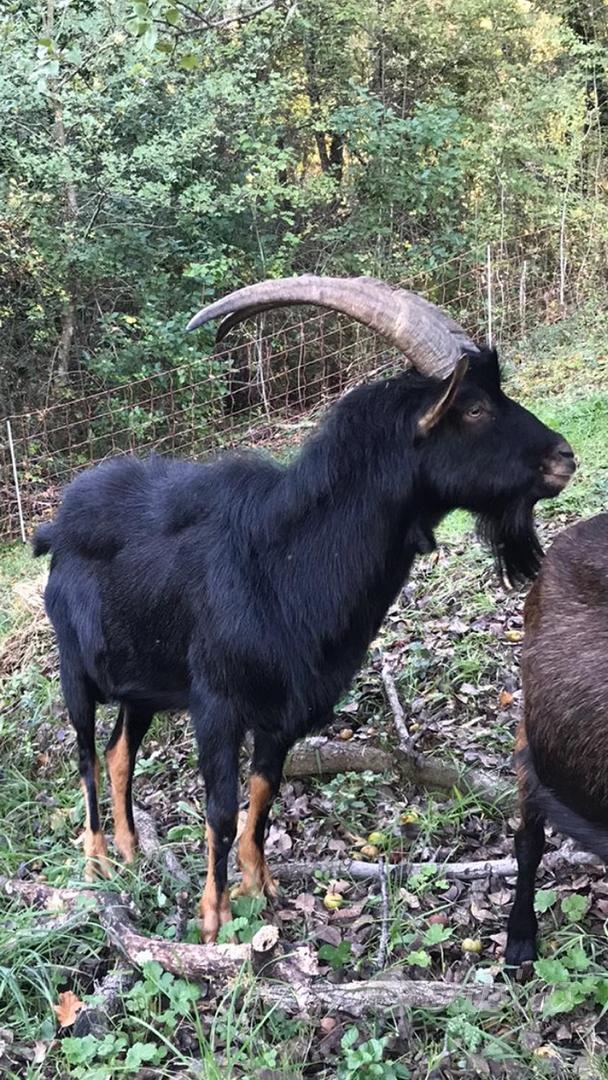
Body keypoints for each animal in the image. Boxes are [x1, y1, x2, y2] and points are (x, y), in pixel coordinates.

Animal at [34, 274, 575, 942]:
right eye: (473, 408)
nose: (564, 457)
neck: (286, 559)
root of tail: (55, 525)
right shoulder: (217, 703)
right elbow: (220, 807)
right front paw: (214, 919)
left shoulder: (285, 710)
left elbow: (263, 797)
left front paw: (259, 888)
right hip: (73, 667)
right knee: (85, 753)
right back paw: (99, 862)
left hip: (144, 684)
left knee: (117, 753)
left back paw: (133, 852)